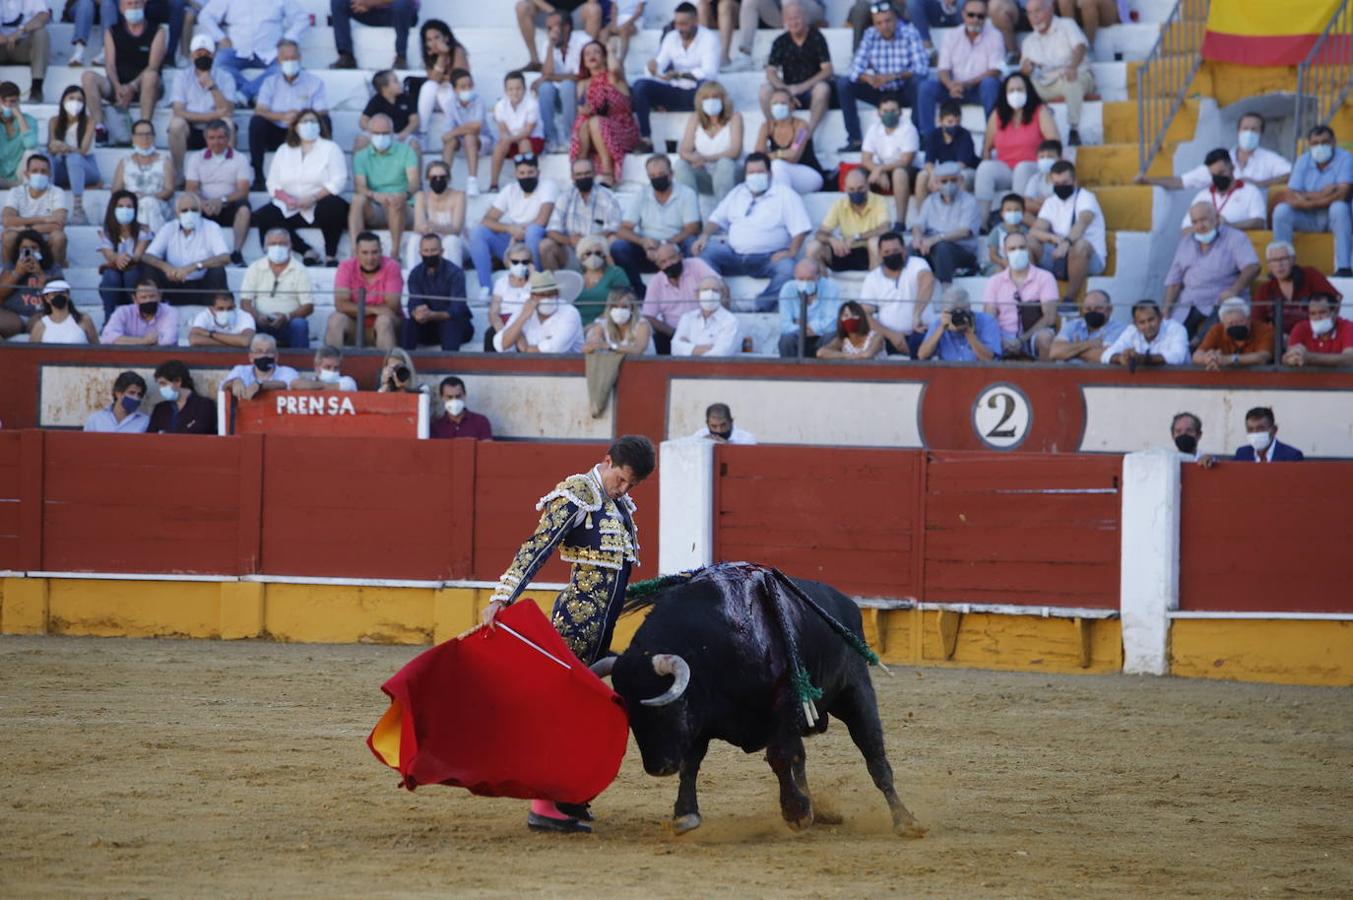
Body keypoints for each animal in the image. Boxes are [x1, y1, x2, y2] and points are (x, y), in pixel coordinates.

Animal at [595, 563, 925, 833]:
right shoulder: (700, 718)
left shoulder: (782, 707)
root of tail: (848, 604)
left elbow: (779, 756)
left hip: (855, 693)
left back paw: (905, 820)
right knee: (802, 757)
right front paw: (685, 815)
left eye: (664, 710)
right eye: (630, 717)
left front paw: (796, 814)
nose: (658, 768)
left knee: (874, 755)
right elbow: (692, 762)